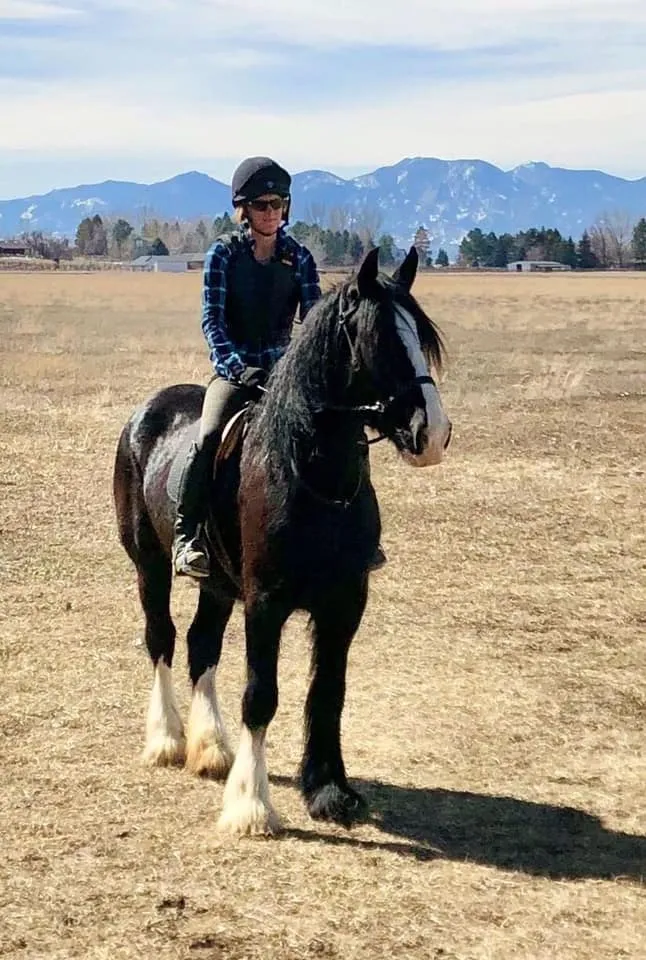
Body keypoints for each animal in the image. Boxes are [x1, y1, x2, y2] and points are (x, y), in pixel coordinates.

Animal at [113, 245, 451, 836]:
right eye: (380, 340)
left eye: (420, 337)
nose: (431, 433)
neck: (312, 474)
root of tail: (147, 411)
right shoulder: (265, 603)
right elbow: (260, 696)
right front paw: (251, 804)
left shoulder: (346, 603)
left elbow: (328, 692)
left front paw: (330, 790)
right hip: (149, 566)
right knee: (162, 639)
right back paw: (168, 739)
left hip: (218, 585)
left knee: (201, 645)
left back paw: (211, 747)